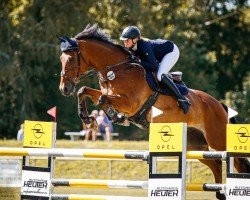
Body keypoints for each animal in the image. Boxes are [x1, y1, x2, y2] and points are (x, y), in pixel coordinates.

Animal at [57, 24, 249, 199]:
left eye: (71, 59)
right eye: (61, 58)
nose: (64, 89)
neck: (116, 69)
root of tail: (220, 105)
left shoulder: (130, 103)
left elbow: (103, 100)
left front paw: (116, 117)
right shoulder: (108, 94)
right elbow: (84, 91)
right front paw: (88, 119)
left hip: (217, 138)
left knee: (237, 161)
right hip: (195, 144)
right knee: (216, 163)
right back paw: (220, 194)